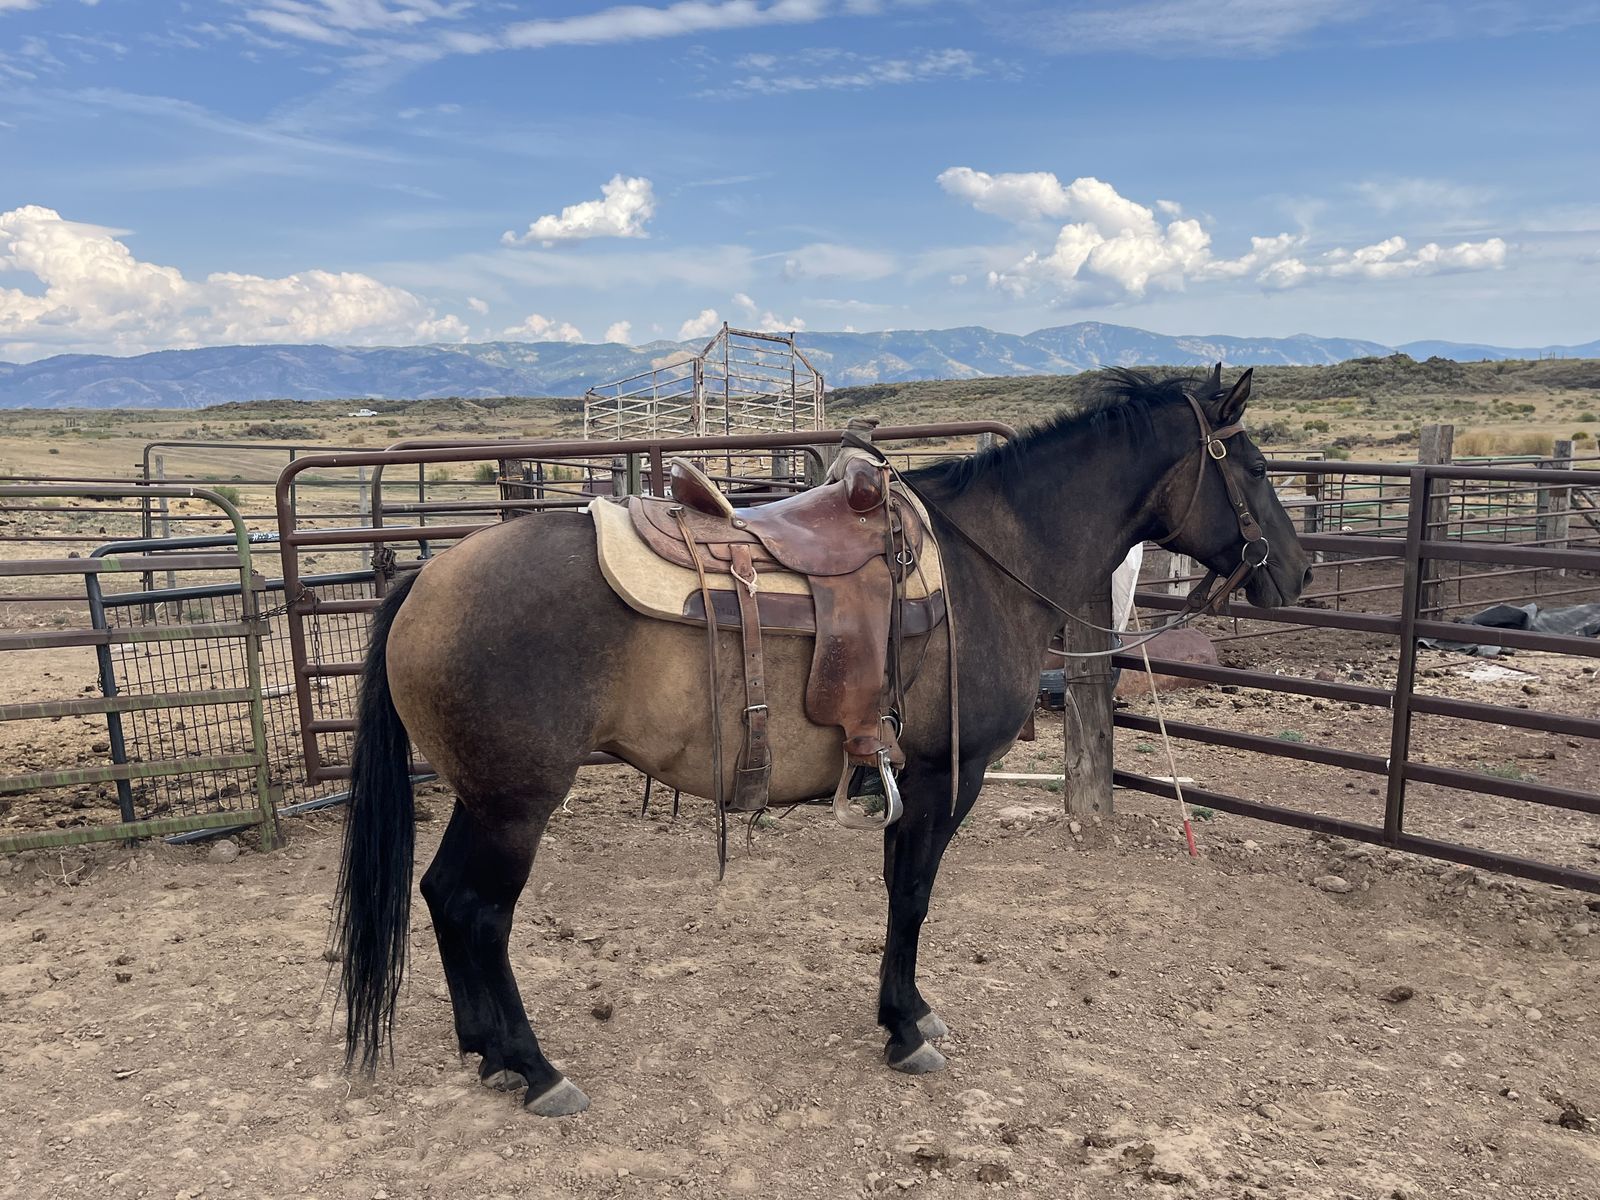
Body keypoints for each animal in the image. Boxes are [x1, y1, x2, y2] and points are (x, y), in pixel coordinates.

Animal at [333, 365, 1311, 1115]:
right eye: (1258, 466)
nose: (1297, 573)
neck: (991, 560)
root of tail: (426, 579)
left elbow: (898, 893)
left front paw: (904, 1012)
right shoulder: (943, 778)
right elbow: (912, 897)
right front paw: (906, 1028)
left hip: (483, 800)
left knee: (444, 898)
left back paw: (489, 1053)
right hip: (516, 805)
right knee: (478, 911)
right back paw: (535, 1070)